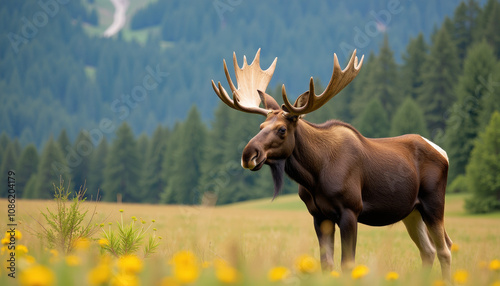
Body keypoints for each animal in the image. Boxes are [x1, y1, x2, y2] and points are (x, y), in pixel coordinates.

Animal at [211, 48, 454, 280]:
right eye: (261, 126)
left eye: (282, 129)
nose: (248, 154)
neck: (314, 175)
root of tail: (443, 153)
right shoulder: (319, 215)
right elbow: (326, 264)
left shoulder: (351, 210)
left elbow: (347, 263)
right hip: (411, 212)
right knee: (428, 250)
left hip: (433, 203)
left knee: (445, 249)